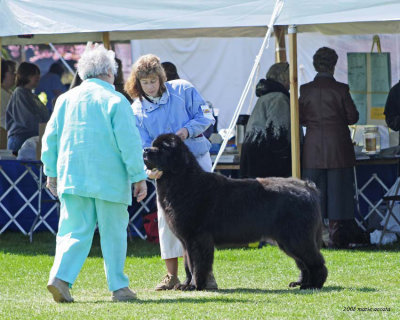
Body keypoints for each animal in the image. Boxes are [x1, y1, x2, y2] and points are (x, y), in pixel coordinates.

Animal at [144, 132, 328, 290]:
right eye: (153, 145)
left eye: (163, 148)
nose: (145, 150)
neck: (182, 181)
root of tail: (308, 186)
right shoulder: (186, 241)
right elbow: (188, 265)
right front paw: (186, 284)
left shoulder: (197, 238)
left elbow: (196, 264)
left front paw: (194, 286)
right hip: (287, 240)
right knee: (303, 263)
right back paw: (301, 283)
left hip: (297, 238)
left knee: (315, 261)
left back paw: (312, 285)